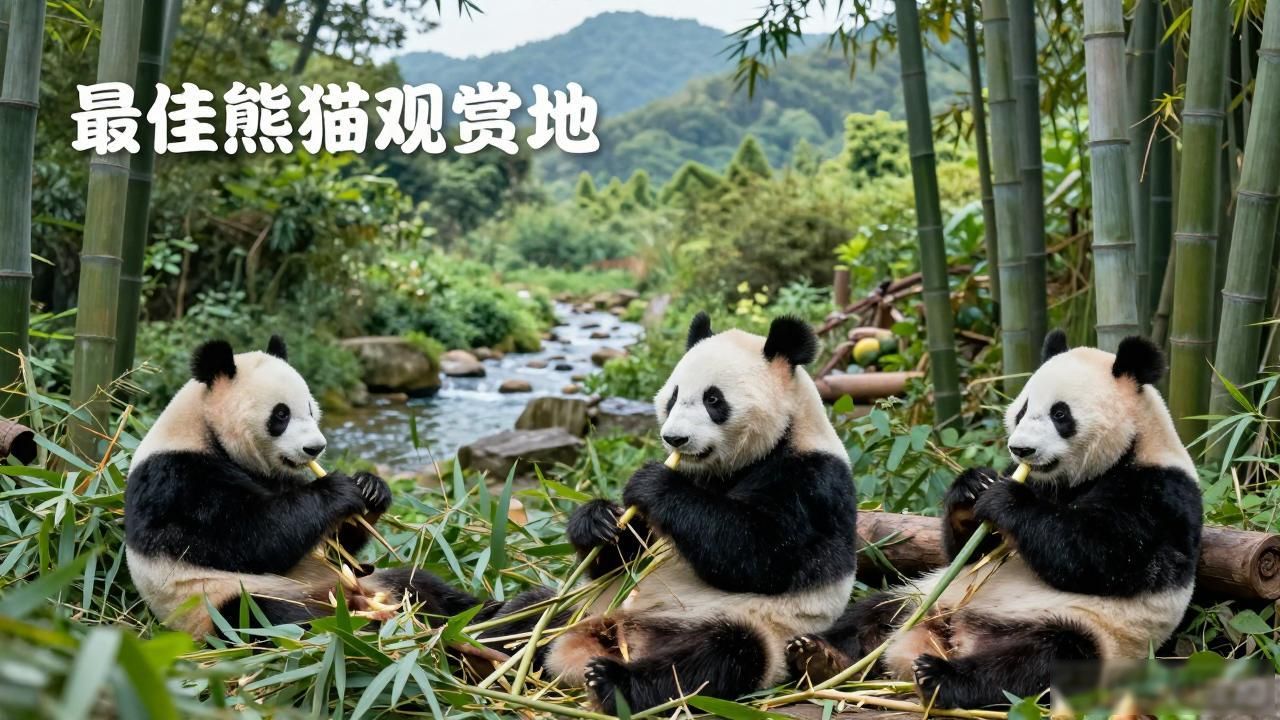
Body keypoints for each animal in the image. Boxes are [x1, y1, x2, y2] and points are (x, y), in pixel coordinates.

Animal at [124, 336, 474, 637]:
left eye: (309, 408)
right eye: (280, 415)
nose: (315, 448)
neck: (205, 430)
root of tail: (347, 597)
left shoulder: (278, 476)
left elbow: (334, 545)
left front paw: (370, 488)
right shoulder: (177, 481)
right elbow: (252, 538)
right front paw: (337, 490)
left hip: (378, 579)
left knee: (425, 586)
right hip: (220, 604)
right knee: (273, 620)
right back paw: (360, 629)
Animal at [510, 313, 859, 712]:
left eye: (713, 399)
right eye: (674, 396)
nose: (674, 439)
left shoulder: (812, 482)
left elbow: (762, 554)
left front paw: (653, 483)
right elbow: (626, 558)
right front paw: (599, 520)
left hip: (744, 627)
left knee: (716, 657)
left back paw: (612, 681)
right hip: (584, 607)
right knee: (526, 611)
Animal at [785, 331, 1203, 708]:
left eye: (1060, 414)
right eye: (1022, 409)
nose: (1022, 449)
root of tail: (955, 637)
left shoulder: (1159, 493)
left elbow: (1107, 558)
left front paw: (1006, 499)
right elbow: (967, 554)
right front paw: (972, 488)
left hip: (1090, 634)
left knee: (1038, 663)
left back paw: (940, 676)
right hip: (922, 598)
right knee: (873, 613)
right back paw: (819, 656)